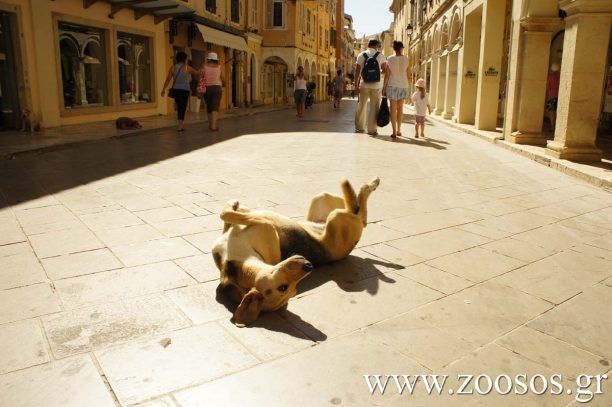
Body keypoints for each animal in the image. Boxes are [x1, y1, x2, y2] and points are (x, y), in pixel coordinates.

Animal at [213, 178, 380, 328]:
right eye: (284, 288)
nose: (309, 265)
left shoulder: (262, 225)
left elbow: (230, 215)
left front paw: (235, 205)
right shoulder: (264, 225)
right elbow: (229, 215)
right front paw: (235, 206)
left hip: (326, 203)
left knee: (357, 209)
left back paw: (369, 185)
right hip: (338, 216)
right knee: (359, 212)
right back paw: (369, 186)